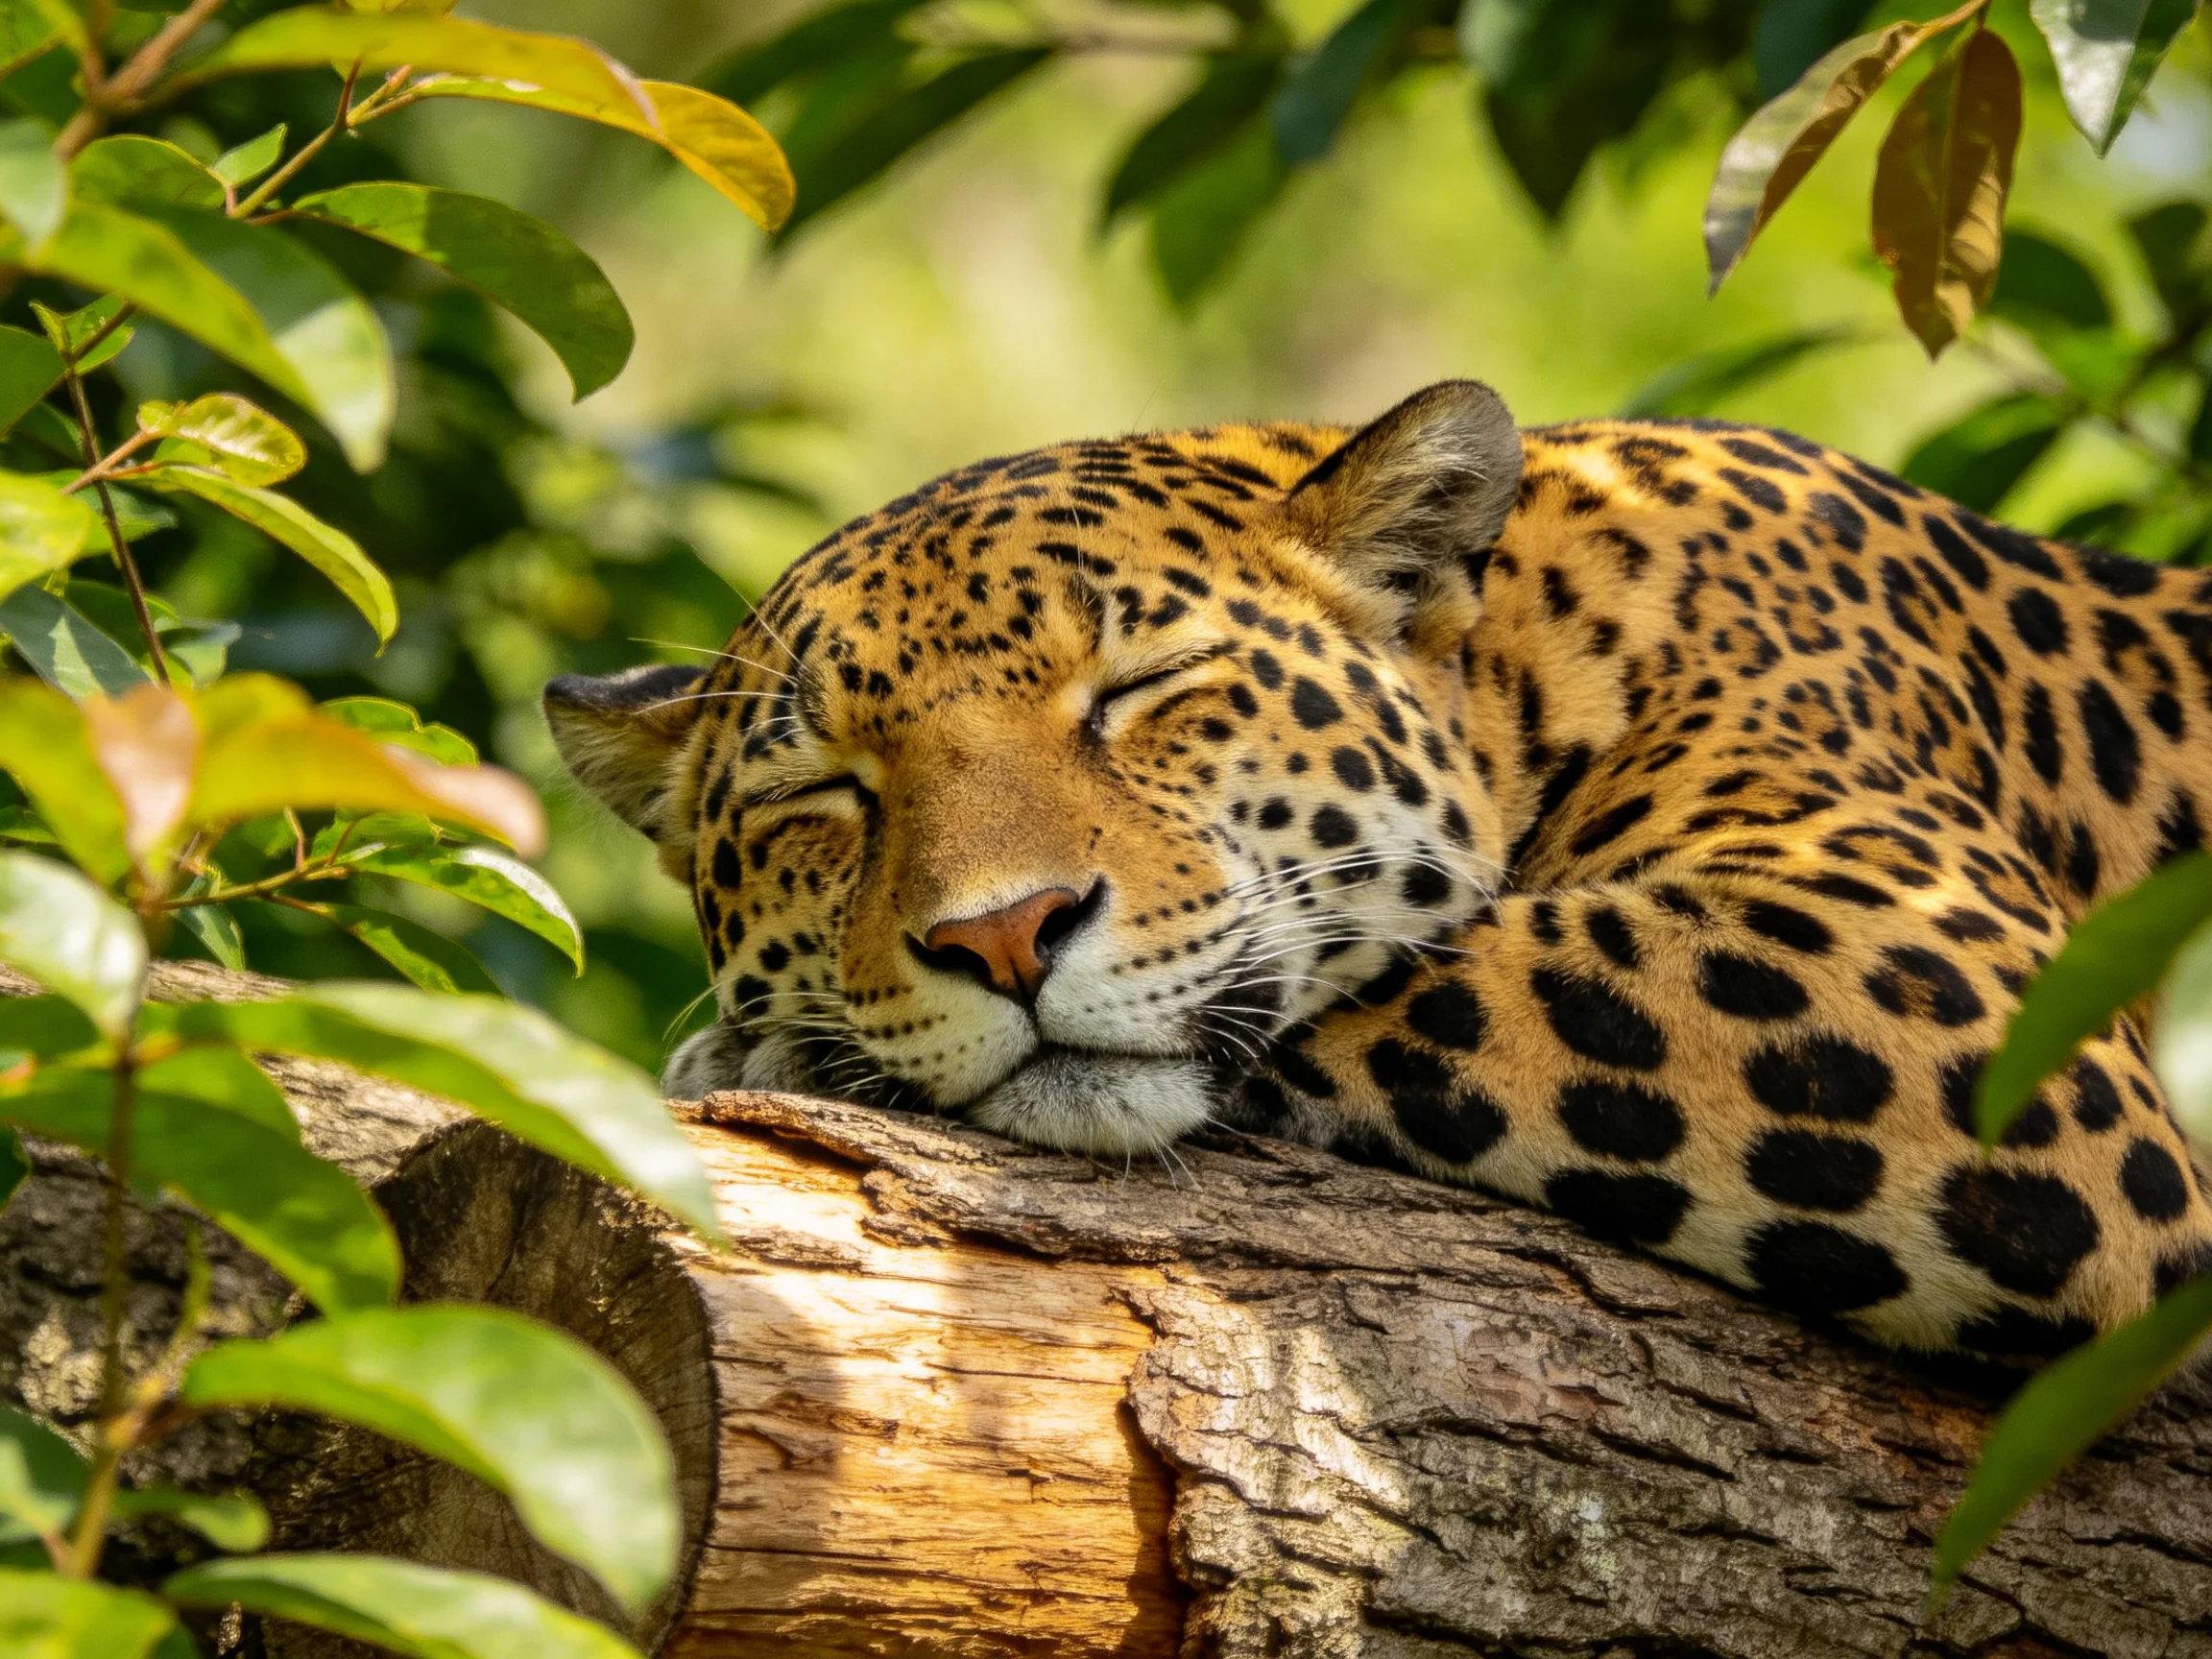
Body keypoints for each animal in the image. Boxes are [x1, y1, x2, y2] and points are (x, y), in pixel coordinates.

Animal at [545, 379, 2212, 1359]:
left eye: (1140, 690)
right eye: (825, 794)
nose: (1009, 937)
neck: (1548, 644)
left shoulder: (1939, 985)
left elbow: (1461, 980)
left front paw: (753, 1056)